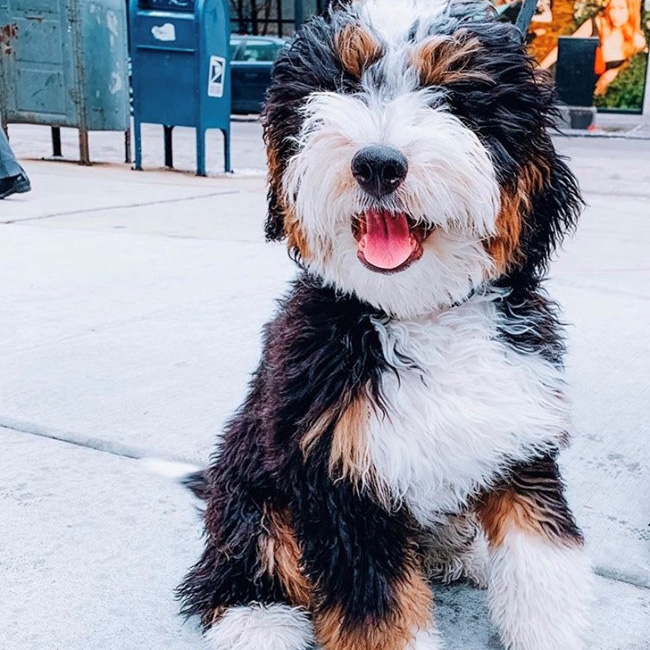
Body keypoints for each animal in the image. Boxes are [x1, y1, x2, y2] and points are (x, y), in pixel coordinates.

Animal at [178, 1, 592, 648]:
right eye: (344, 85)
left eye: (452, 97)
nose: (377, 163)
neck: (419, 314)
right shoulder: (336, 477)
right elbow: (376, 608)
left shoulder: (519, 438)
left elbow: (543, 561)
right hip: (252, 483)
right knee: (242, 560)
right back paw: (257, 623)